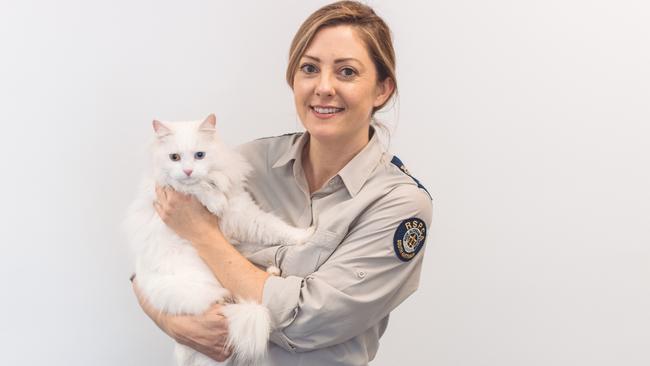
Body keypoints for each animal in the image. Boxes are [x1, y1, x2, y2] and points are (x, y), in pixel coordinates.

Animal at [125, 113, 312, 364]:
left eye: (199, 155)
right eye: (174, 157)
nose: (188, 171)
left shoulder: (242, 213)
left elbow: (273, 228)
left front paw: (305, 235)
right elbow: (194, 189)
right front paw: (213, 200)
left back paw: (273, 271)